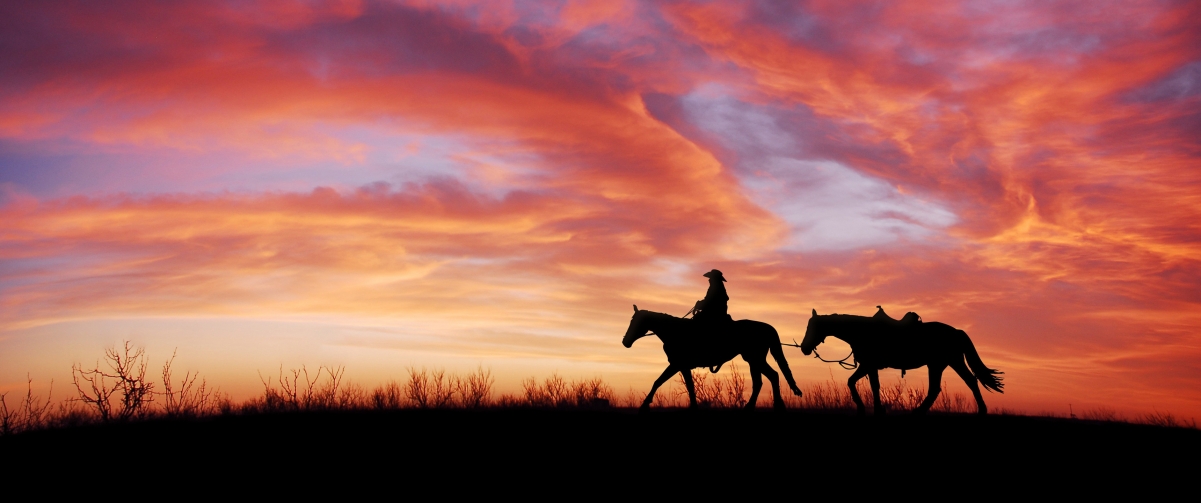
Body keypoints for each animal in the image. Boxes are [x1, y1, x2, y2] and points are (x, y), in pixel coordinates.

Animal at [624, 304, 802, 410]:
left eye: (636, 321)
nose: (625, 342)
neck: (675, 332)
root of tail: (767, 327)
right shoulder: (681, 366)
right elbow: (687, 387)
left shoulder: (677, 364)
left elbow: (659, 382)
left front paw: (644, 405)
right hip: (754, 360)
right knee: (764, 380)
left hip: (754, 359)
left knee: (771, 376)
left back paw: (775, 406)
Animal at [797, 309, 1004, 415]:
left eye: (812, 327)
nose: (804, 348)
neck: (863, 331)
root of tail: (956, 332)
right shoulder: (869, 366)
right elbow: (866, 384)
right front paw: (874, 409)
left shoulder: (868, 365)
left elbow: (860, 383)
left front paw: (867, 408)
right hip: (943, 363)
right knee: (951, 385)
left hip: (944, 363)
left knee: (959, 384)